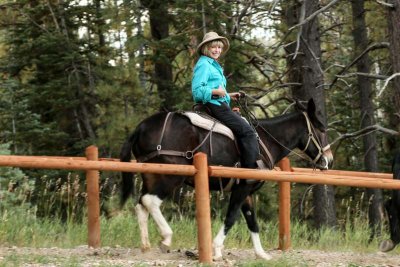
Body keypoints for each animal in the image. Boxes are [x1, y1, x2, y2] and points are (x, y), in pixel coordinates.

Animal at [120, 99, 332, 260]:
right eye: (321, 130)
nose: (329, 160)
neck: (264, 141)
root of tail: (142, 127)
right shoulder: (242, 188)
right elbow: (231, 217)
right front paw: (216, 249)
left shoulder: (247, 191)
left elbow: (252, 221)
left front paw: (261, 254)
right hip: (170, 177)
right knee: (150, 201)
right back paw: (166, 238)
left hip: (150, 176)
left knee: (141, 204)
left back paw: (146, 245)